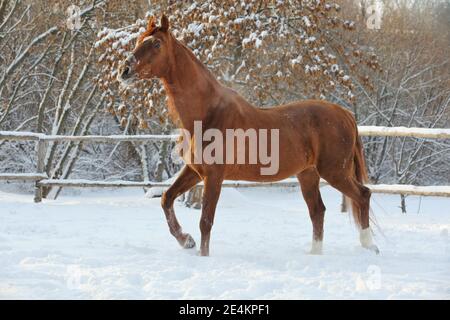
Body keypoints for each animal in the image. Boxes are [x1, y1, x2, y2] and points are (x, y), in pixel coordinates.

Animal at [118, 15, 378, 256]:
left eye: (156, 44)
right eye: (139, 40)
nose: (124, 71)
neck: (208, 113)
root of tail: (345, 113)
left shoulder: (214, 176)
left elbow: (206, 222)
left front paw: (203, 256)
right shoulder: (194, 171)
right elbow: (167, 199)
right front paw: (186, 241)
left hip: (334, 172)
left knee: (362, 195)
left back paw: (370, 247)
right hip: (308, 175)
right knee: (318, 211)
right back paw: (315, 254)